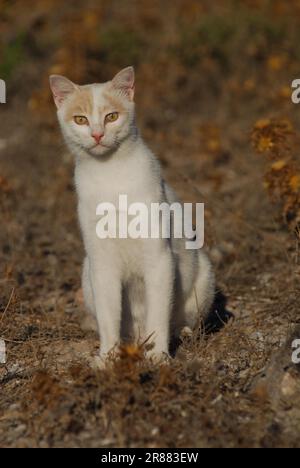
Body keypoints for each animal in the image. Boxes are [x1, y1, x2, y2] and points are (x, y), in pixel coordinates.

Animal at [49, 66, 214, 366]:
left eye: (111, 116)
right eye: (80, 119)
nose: (97, 134)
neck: (109, 174)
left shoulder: (159, 258)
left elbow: (158, 315)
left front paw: (159, 355)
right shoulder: (102, 265)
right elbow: (109, 318)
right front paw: (107, 358)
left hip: (204, 275)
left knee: (183, 322)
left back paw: (179, 334)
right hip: (87, 273)